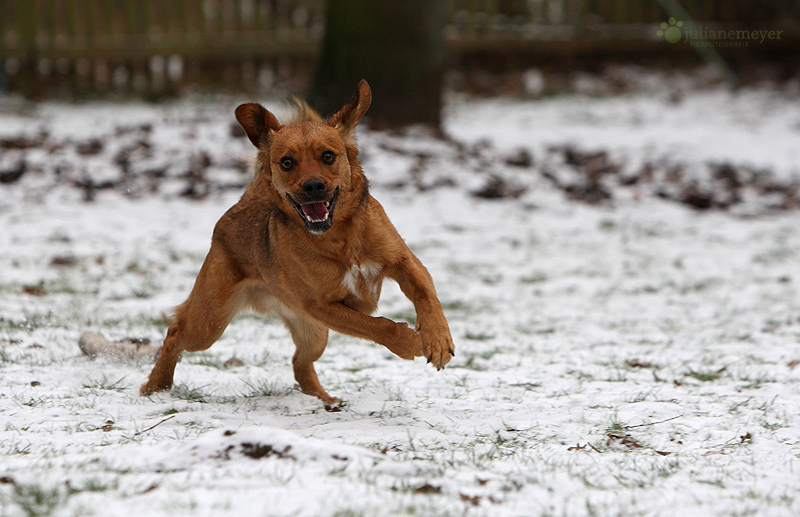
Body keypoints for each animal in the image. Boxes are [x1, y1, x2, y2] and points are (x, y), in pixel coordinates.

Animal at [141, 80, 454, 408]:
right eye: (287, 162)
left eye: (328, 156)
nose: (313, 186)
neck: (339, 237)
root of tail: (242, 204)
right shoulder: (321, 306)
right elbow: (376, 325)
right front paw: (409, 342)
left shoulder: (404, 261)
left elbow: (426, 296)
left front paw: (437, 340)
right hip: (211, 321)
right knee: (175, 333)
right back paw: (155, 386)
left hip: (312, 333)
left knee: (299, 362)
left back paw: (324, 400)